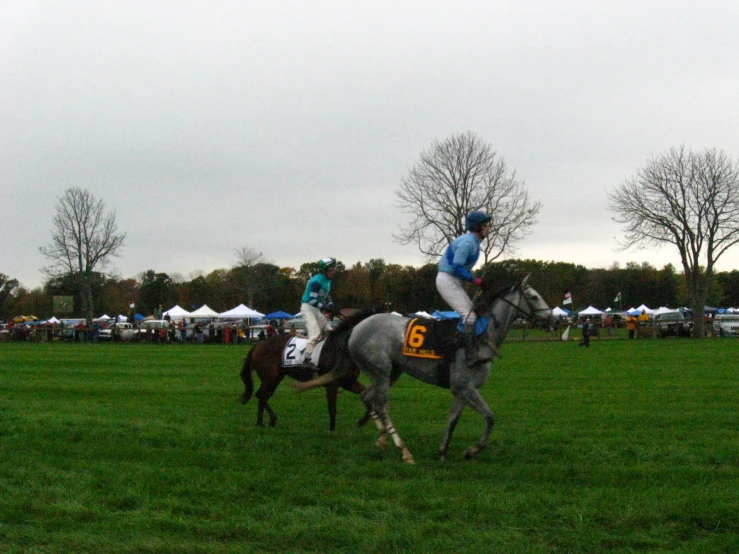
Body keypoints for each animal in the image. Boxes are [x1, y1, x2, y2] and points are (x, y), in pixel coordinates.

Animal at [240, 312, 372, 430]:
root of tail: (258, 345)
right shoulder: (331, 384)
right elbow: (332, 409)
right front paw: (332, 431)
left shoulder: (349, 382)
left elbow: (367, 397)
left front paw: (362, 422)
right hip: (270, 378)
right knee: (262, 395)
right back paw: (266, 421)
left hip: (276, 378)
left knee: (263, 396)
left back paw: (263, 422)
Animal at [296, 274, 556, 462]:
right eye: (534, 297)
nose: (554, 320)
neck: (481, 337)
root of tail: (357, 326)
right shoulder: (466, 386)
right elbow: (490, 418)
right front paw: (472, 450)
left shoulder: (461, 390)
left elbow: (452, 421)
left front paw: (443, 451)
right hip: (381, 371)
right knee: (381, 404)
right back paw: (403, 450)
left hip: (390, 372)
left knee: (368, 396)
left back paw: (381, 438)